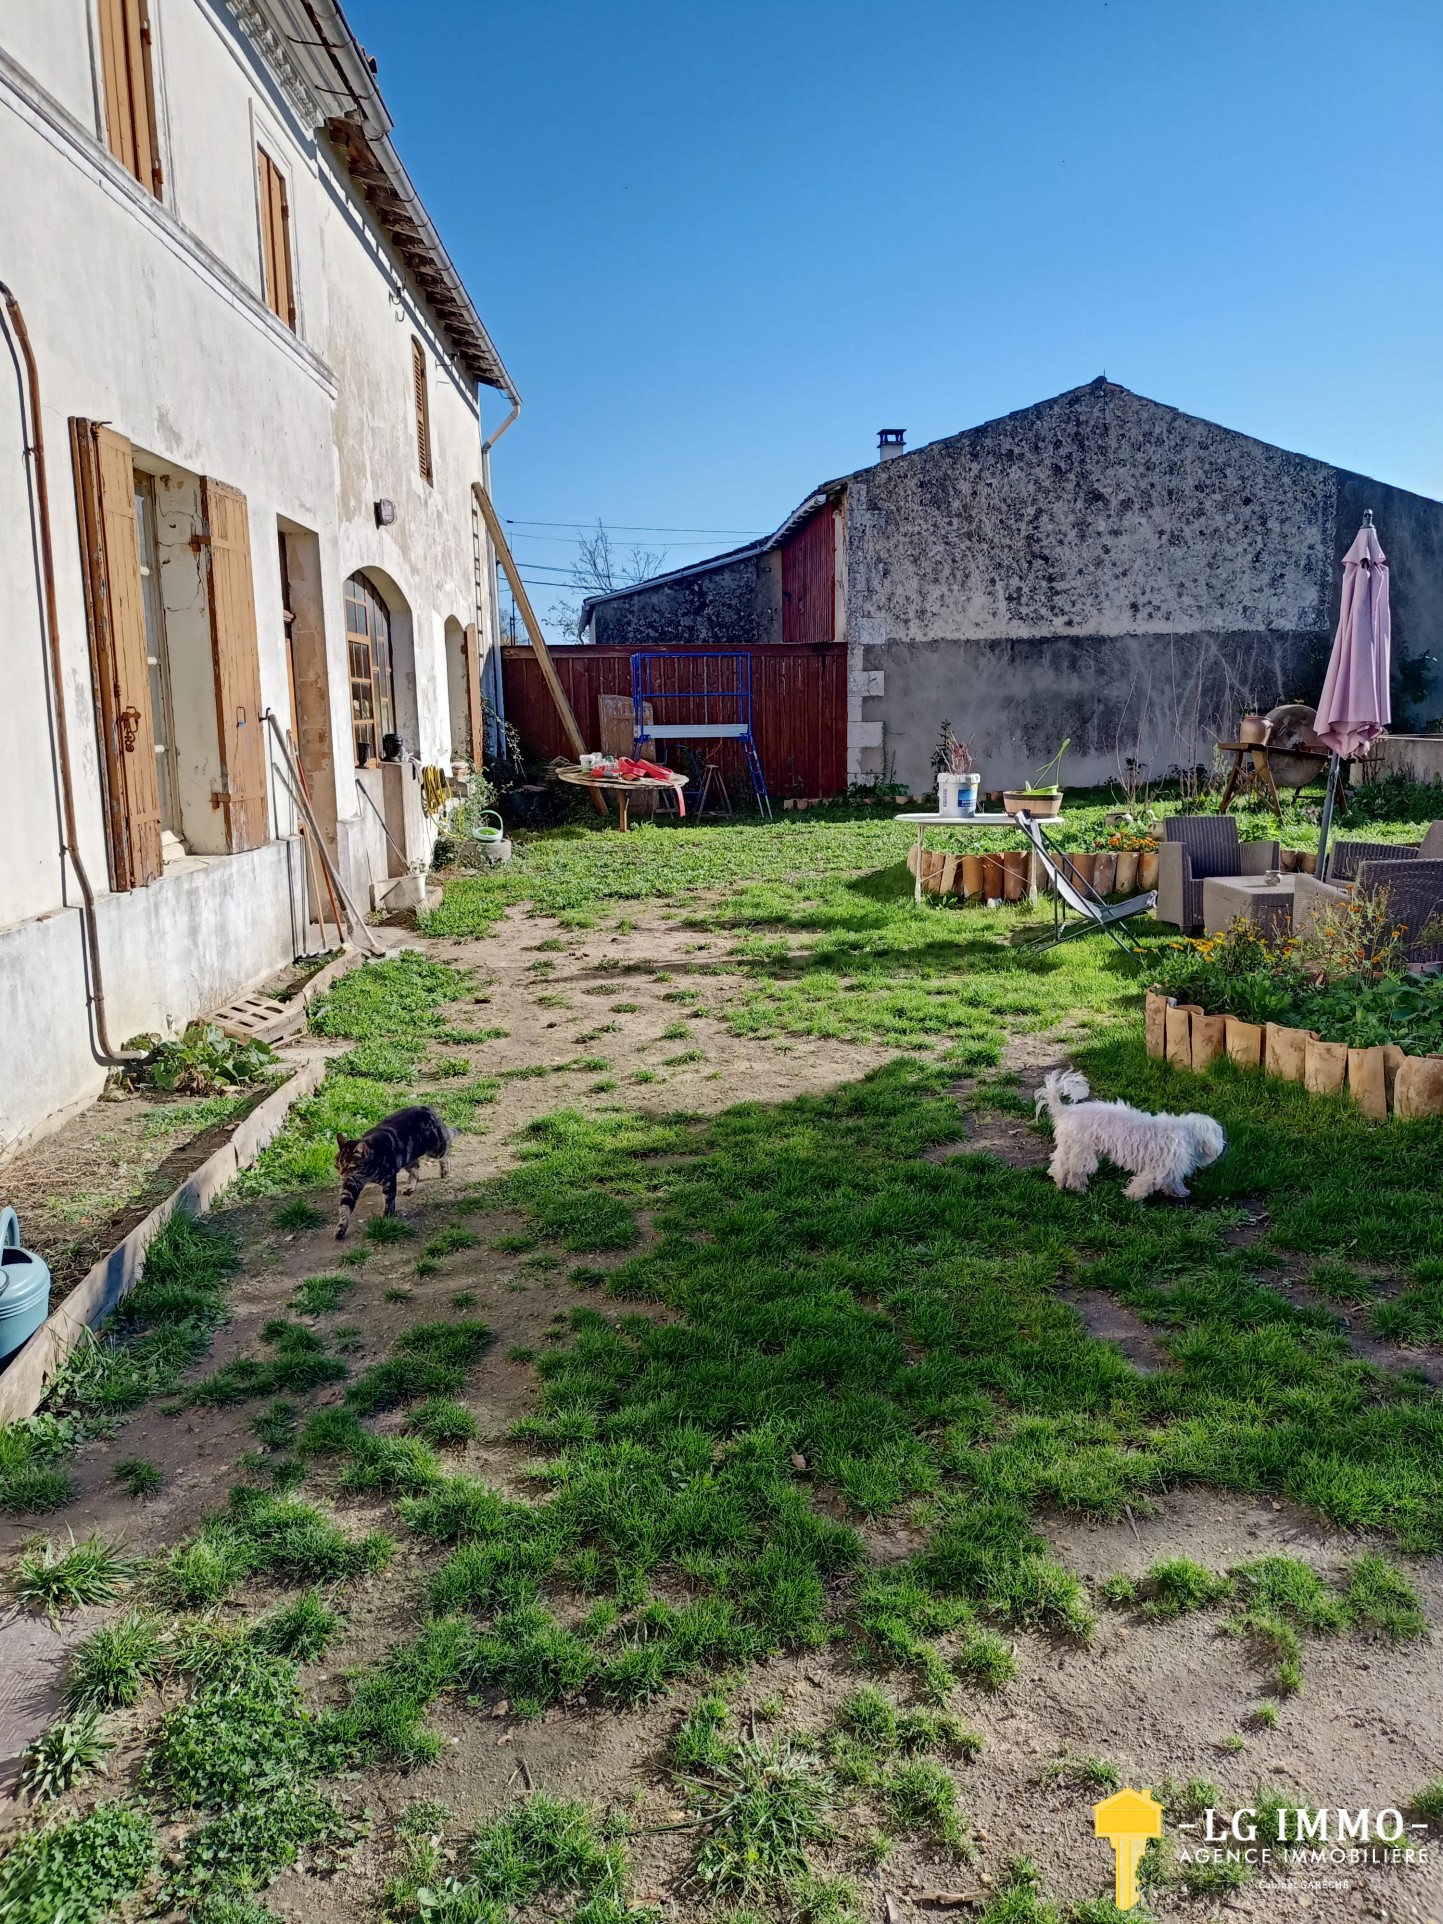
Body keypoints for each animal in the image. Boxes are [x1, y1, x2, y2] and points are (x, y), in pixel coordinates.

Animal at [336, 1108, 454, 1239]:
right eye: (337, 1165)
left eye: (350, 1167)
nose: (341, 1175)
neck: (367, 1174)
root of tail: (427, 1107)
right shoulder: (352, 1184)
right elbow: (344, 1207)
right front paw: (341, 1227)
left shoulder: (389, 1179)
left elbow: (389, 1199)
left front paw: (387, 1217)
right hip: (408, 1158)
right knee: (416, 1170)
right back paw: (410, 1187)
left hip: (435, 1149)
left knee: (447, 1149)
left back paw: (445, 1170)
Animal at [1031, 1069, 1223, 1200]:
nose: (1222, 1149)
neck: (1184, 1132)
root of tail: (1066, 1111)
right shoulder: (1157, 1168)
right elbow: (1144, 1183)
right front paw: (1132, 1197)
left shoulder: (1169, 1168)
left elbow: (1173, 1181)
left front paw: (1180, 1192)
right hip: (1081, 1152)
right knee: (1067, 1169)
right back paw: (1069, 1186)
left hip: (1075, 1150)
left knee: (1065, 1166)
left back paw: (1072, 1187)